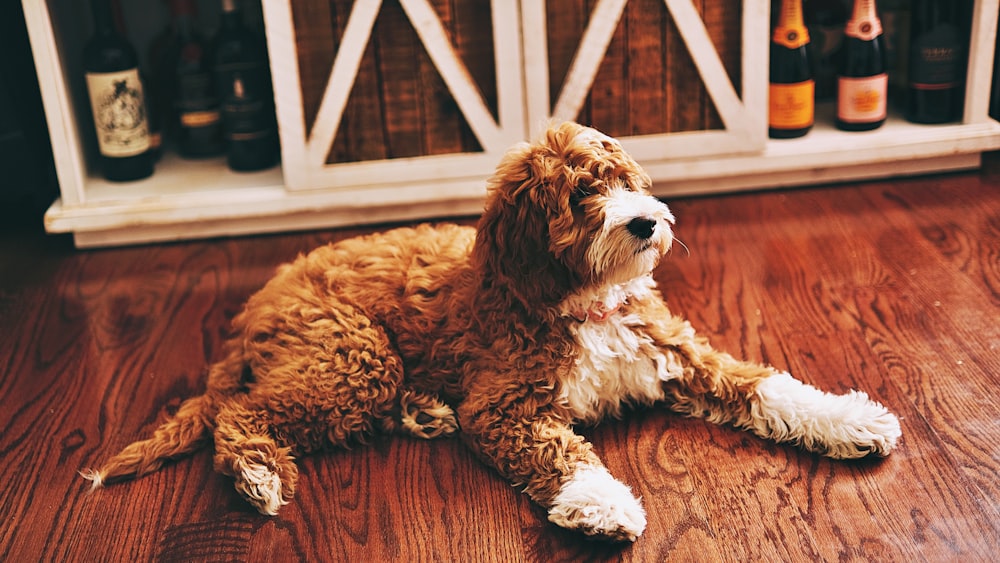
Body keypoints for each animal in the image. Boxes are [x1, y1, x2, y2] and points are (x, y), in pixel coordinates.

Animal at [82, 122, 904, 540]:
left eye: (625, 179)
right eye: (579, 197)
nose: (646, 221)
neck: (587, 303)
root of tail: (255, 304)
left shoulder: (682, 351)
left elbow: (768, 384)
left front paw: (851, 418)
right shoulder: (506, 403)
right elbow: (560, 448)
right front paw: (601, 501)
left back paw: (422, 410)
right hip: (351, 354)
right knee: (239, 412)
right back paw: (258, 476)